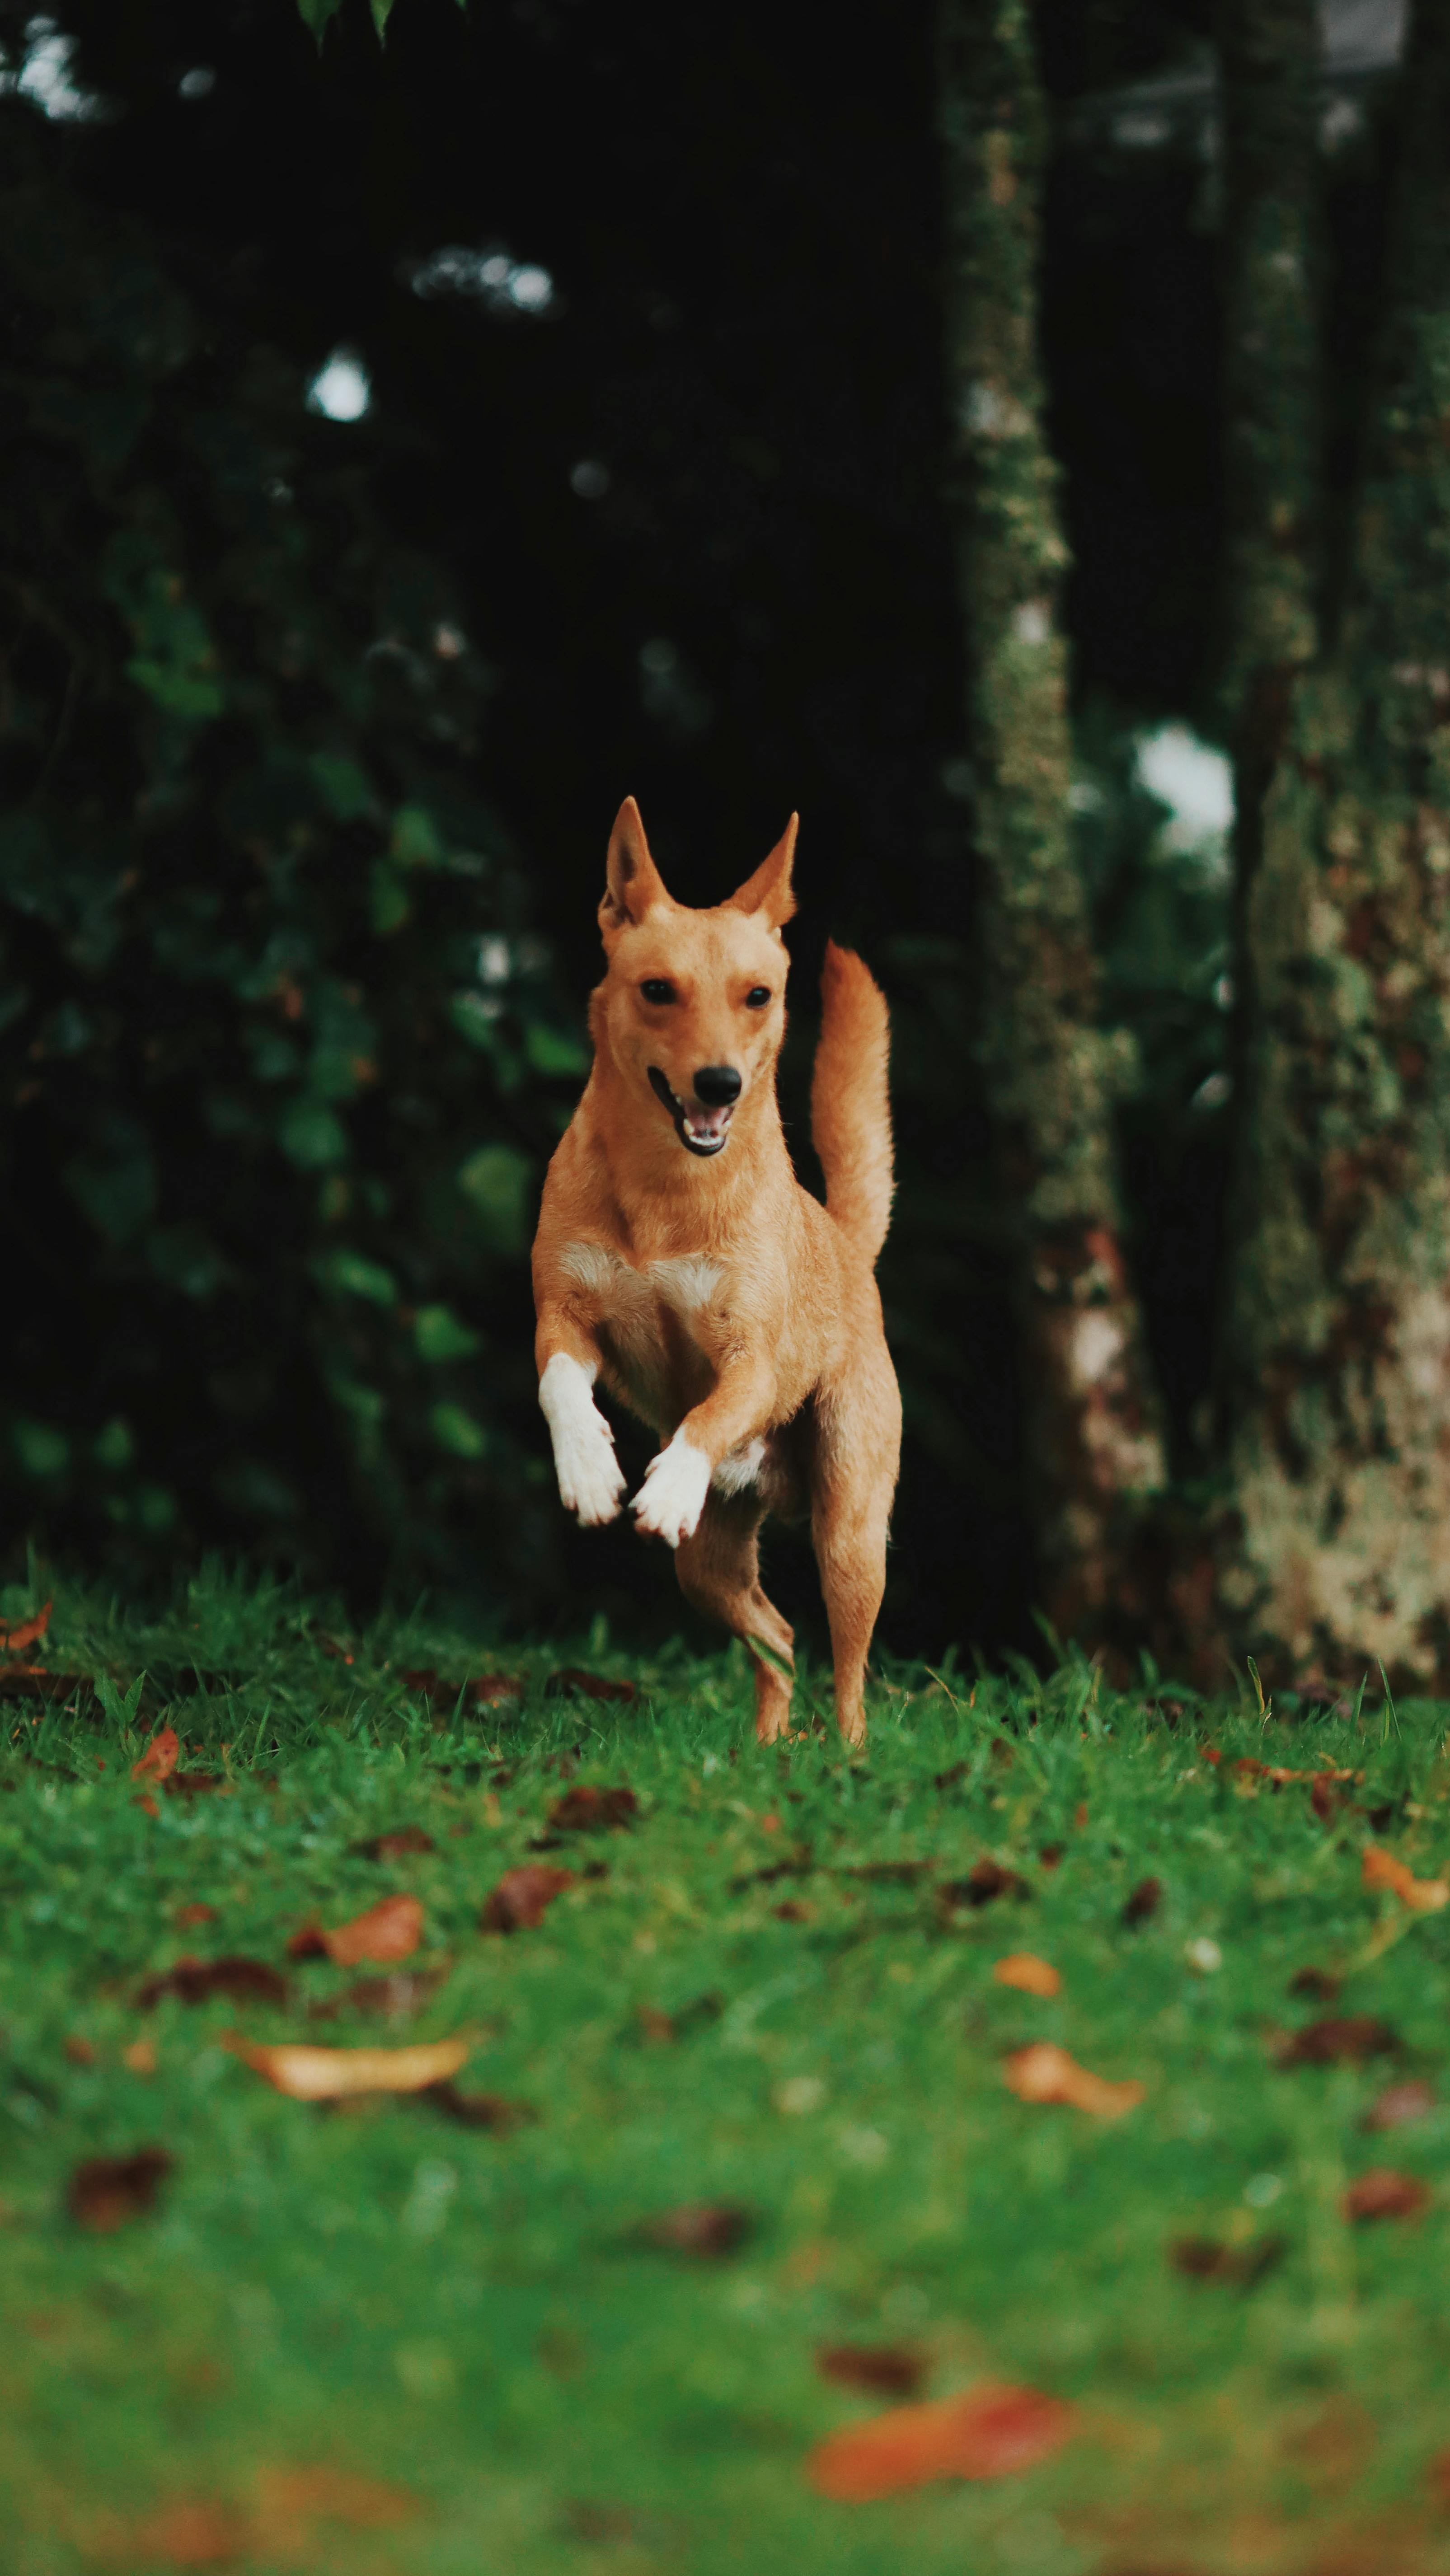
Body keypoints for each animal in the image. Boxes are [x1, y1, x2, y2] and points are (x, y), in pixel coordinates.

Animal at [530, 793, 896, 1741]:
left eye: (756, 996)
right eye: (657, 990)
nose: (720, 1084)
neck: (667, 1191)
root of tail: (846, 1242)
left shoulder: (750, 1362)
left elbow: (709, 1413)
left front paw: (666, 1485)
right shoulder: (563, 1315)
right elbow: (558, 1383)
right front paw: (587, 1467)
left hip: (850, 1533)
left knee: (849, 1671)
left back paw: (848, 1759)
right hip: (707, 1568)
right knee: (779, 1637)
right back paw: (766, 1750)